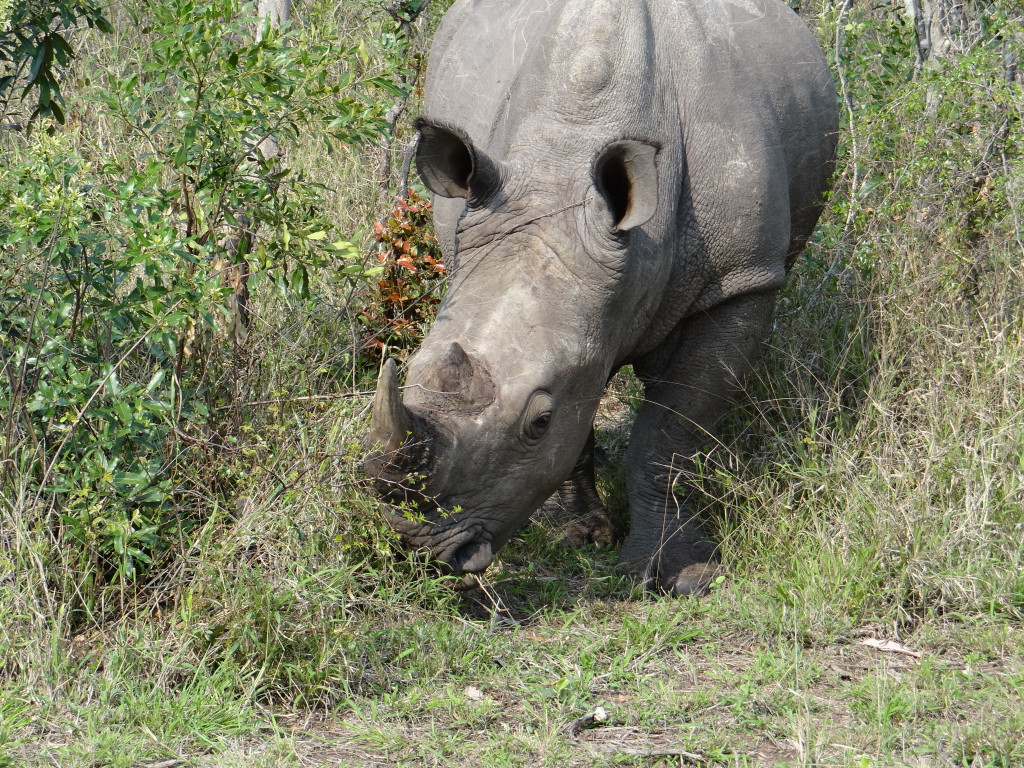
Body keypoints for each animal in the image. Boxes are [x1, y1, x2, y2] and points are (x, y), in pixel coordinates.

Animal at [365, 0, 838, 595]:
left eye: (538, 423)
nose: (420, 548)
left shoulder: (740, 281)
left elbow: (671, 432)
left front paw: (682, 576)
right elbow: (584, 407)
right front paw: (580, 537)